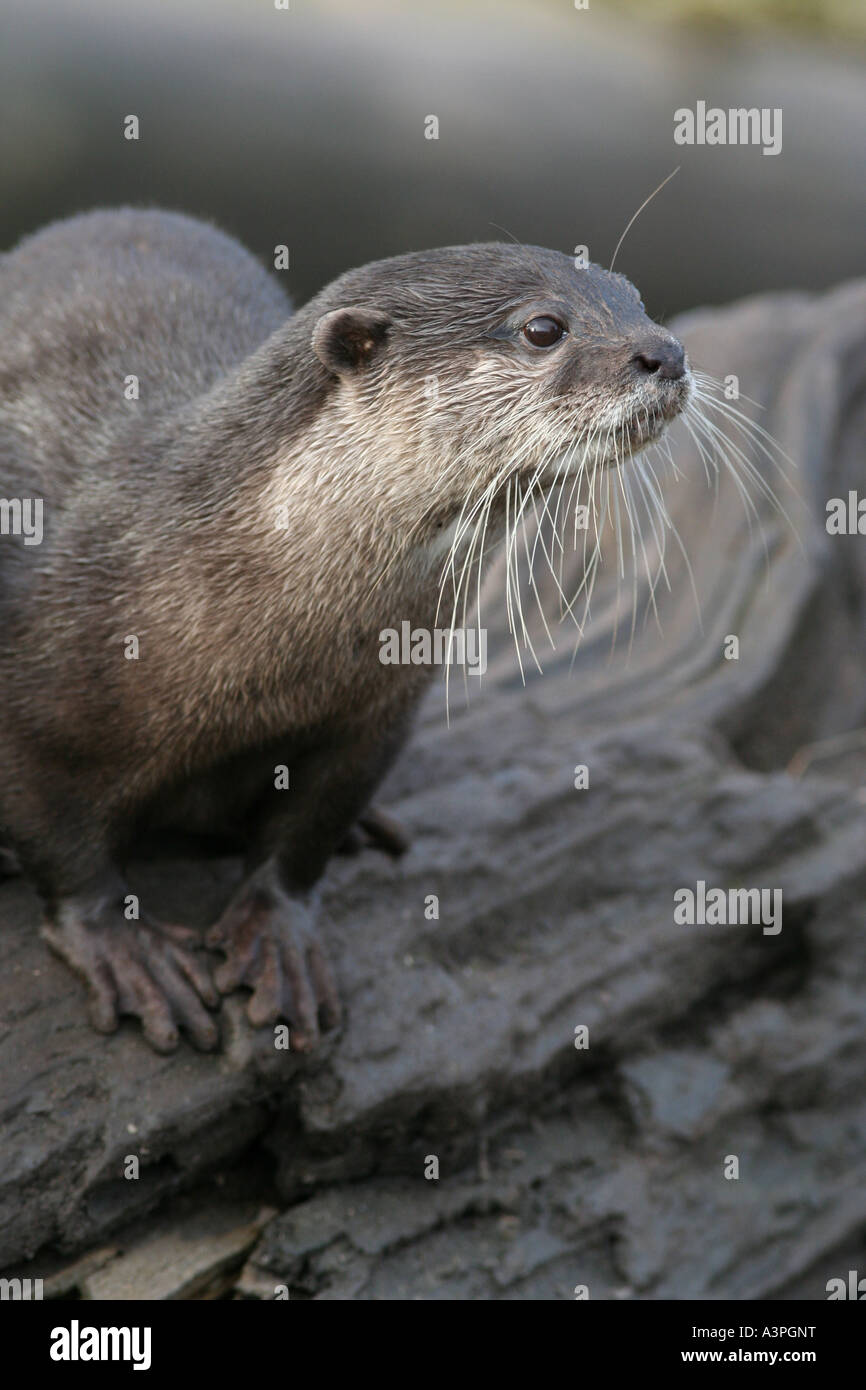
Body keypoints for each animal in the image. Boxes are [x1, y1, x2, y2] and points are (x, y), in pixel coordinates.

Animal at [0, 209, 690, 1053]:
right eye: (543, 329)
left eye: (635, 299)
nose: (666, 352)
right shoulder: (32, 691)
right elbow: (58, 838)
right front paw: (125, 948)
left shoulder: (379, 710)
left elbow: (312, 827)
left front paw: (280, 939)